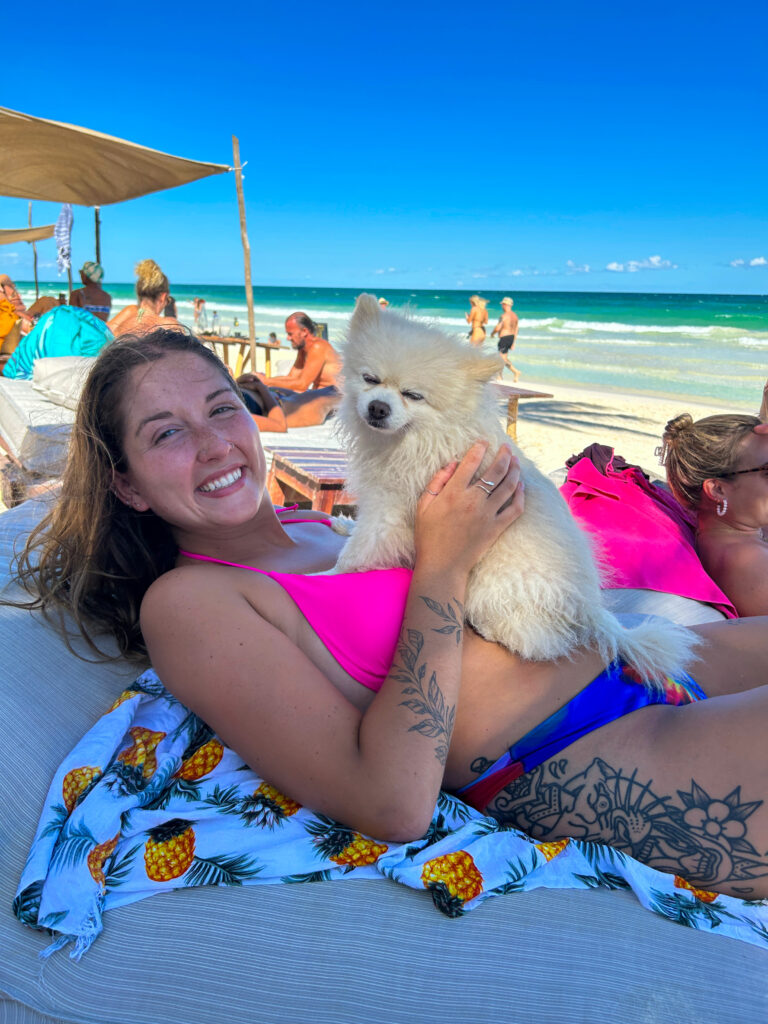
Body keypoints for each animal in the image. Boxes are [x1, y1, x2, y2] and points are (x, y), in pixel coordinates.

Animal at [333, 292, 700, 684]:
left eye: (413, 395)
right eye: (369, 379)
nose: (378, 407)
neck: (417, 436)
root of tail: (590, 606)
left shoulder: (390, 513)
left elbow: (356, 555)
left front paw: (325, 575)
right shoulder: (378, 502)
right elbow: (358, 534)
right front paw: (342, 525)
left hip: (492, 588)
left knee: (537, 642)